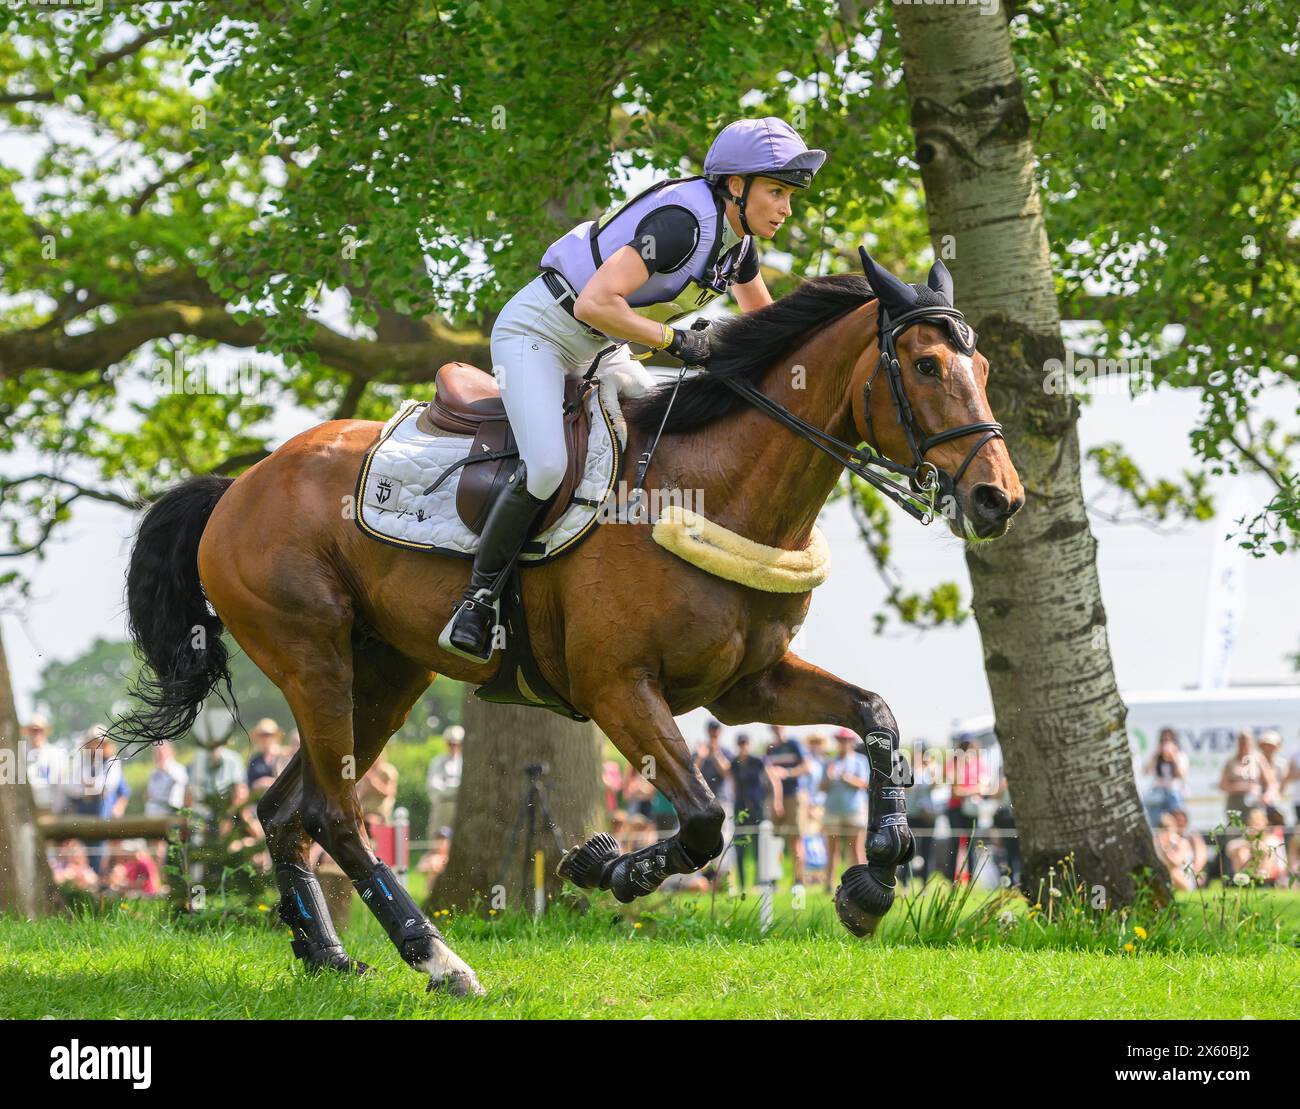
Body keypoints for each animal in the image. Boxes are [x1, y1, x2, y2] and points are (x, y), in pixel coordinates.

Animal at [111, 250, 1024, 993]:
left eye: (980, 362)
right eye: (928, 363)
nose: (999, 499)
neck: (715, 484)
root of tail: (240, 483)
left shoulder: (746, 686)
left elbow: (877, 717)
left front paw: (874, 880)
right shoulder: (617, 686)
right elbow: (703, 817)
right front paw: (607, 866)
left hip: (385, 673)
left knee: (284, 809)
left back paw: (329, 955)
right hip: (314, 658)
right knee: (338, 814)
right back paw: (438, 958)